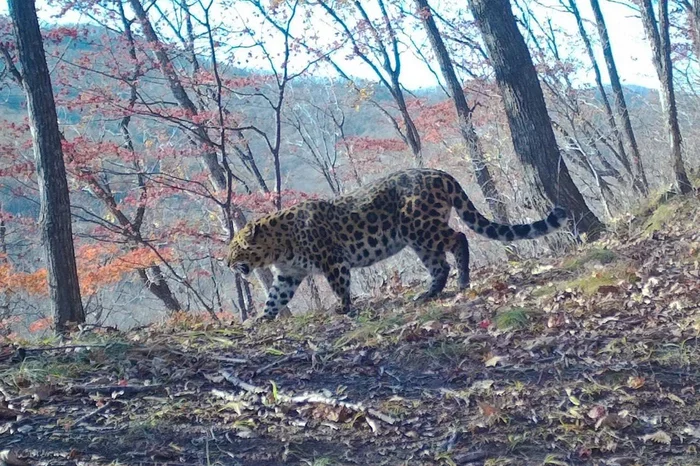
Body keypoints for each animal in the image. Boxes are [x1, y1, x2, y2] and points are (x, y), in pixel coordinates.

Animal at [227, 168, 568, 320]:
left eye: (235, 249)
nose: (227, 264)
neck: (279, 246)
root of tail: (442, 173)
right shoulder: (288, 274)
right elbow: (275, 297)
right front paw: (261, 319)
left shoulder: (332, 260)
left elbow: (340, 286)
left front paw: (344, 309)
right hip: (416, 238)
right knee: (439, 265)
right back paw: (428, 294)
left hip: (420, 227)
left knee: (458, 239)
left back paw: (463, 281)